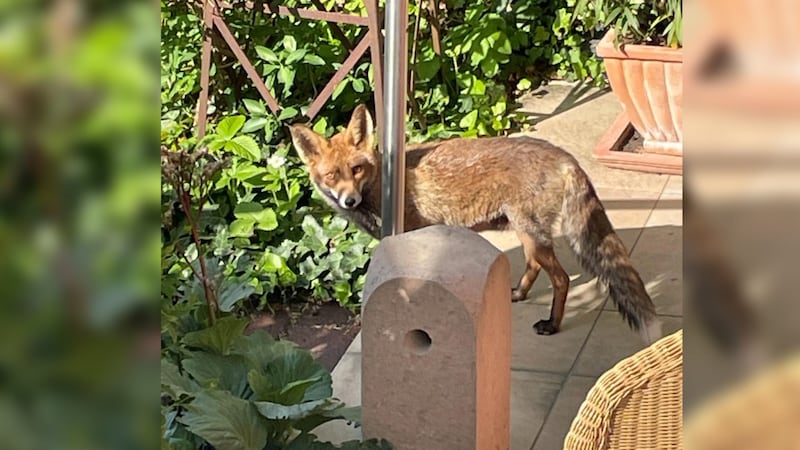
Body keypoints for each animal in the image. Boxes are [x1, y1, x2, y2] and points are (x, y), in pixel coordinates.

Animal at [290, 103, 660, 342]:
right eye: (331, 175)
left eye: (356, 170)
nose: (348, 200)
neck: (384, 184)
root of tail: (566, 158)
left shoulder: (412, 234)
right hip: (526, 234)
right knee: (534, 266)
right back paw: (518, 294)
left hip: (532, 234)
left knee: (562, 279)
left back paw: (552, 325)